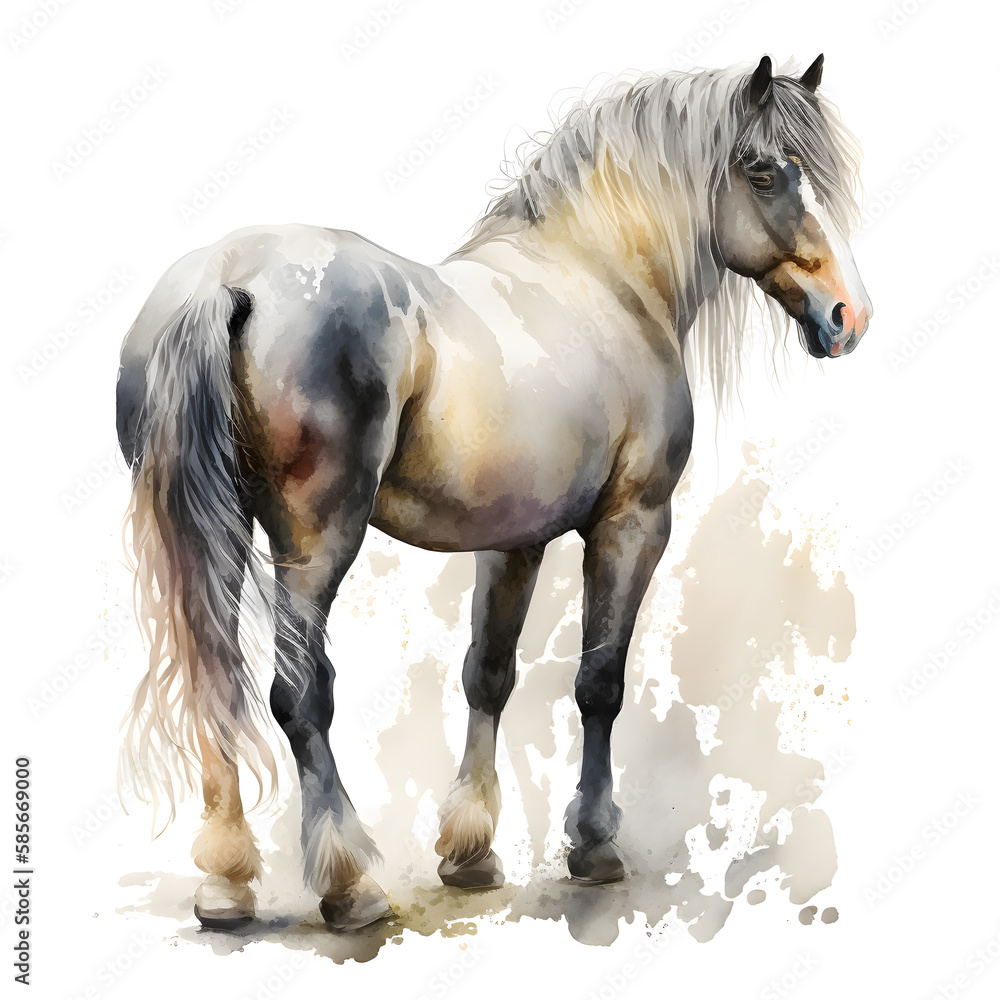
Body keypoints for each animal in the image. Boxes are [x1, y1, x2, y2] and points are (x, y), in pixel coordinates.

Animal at [115, 54, 871, 932]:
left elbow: (489, 674)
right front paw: (593, 843)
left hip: (217, 534)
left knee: (217, 678)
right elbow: (599, 684)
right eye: (763, 171)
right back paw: (348, 884)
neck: (601, 277)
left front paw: (469, 851)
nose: (847, 315)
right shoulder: (632, 524)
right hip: (314, 540)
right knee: (298, 693)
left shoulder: (514, 540)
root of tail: (228, 277)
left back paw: (227, 882)